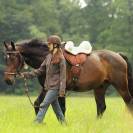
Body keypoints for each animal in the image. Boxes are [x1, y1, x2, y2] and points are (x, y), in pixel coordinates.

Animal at [3, 39, 133, 117]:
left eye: (14, 58)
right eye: (6, 58)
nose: (8, 80)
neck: (48, 57)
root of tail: (118, 55)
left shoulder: (62, 90)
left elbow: (62, 108)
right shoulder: (46, 88)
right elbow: (38, 104)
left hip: (121, 86)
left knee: (128, 103)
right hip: (100, 88)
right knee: (101, 107)